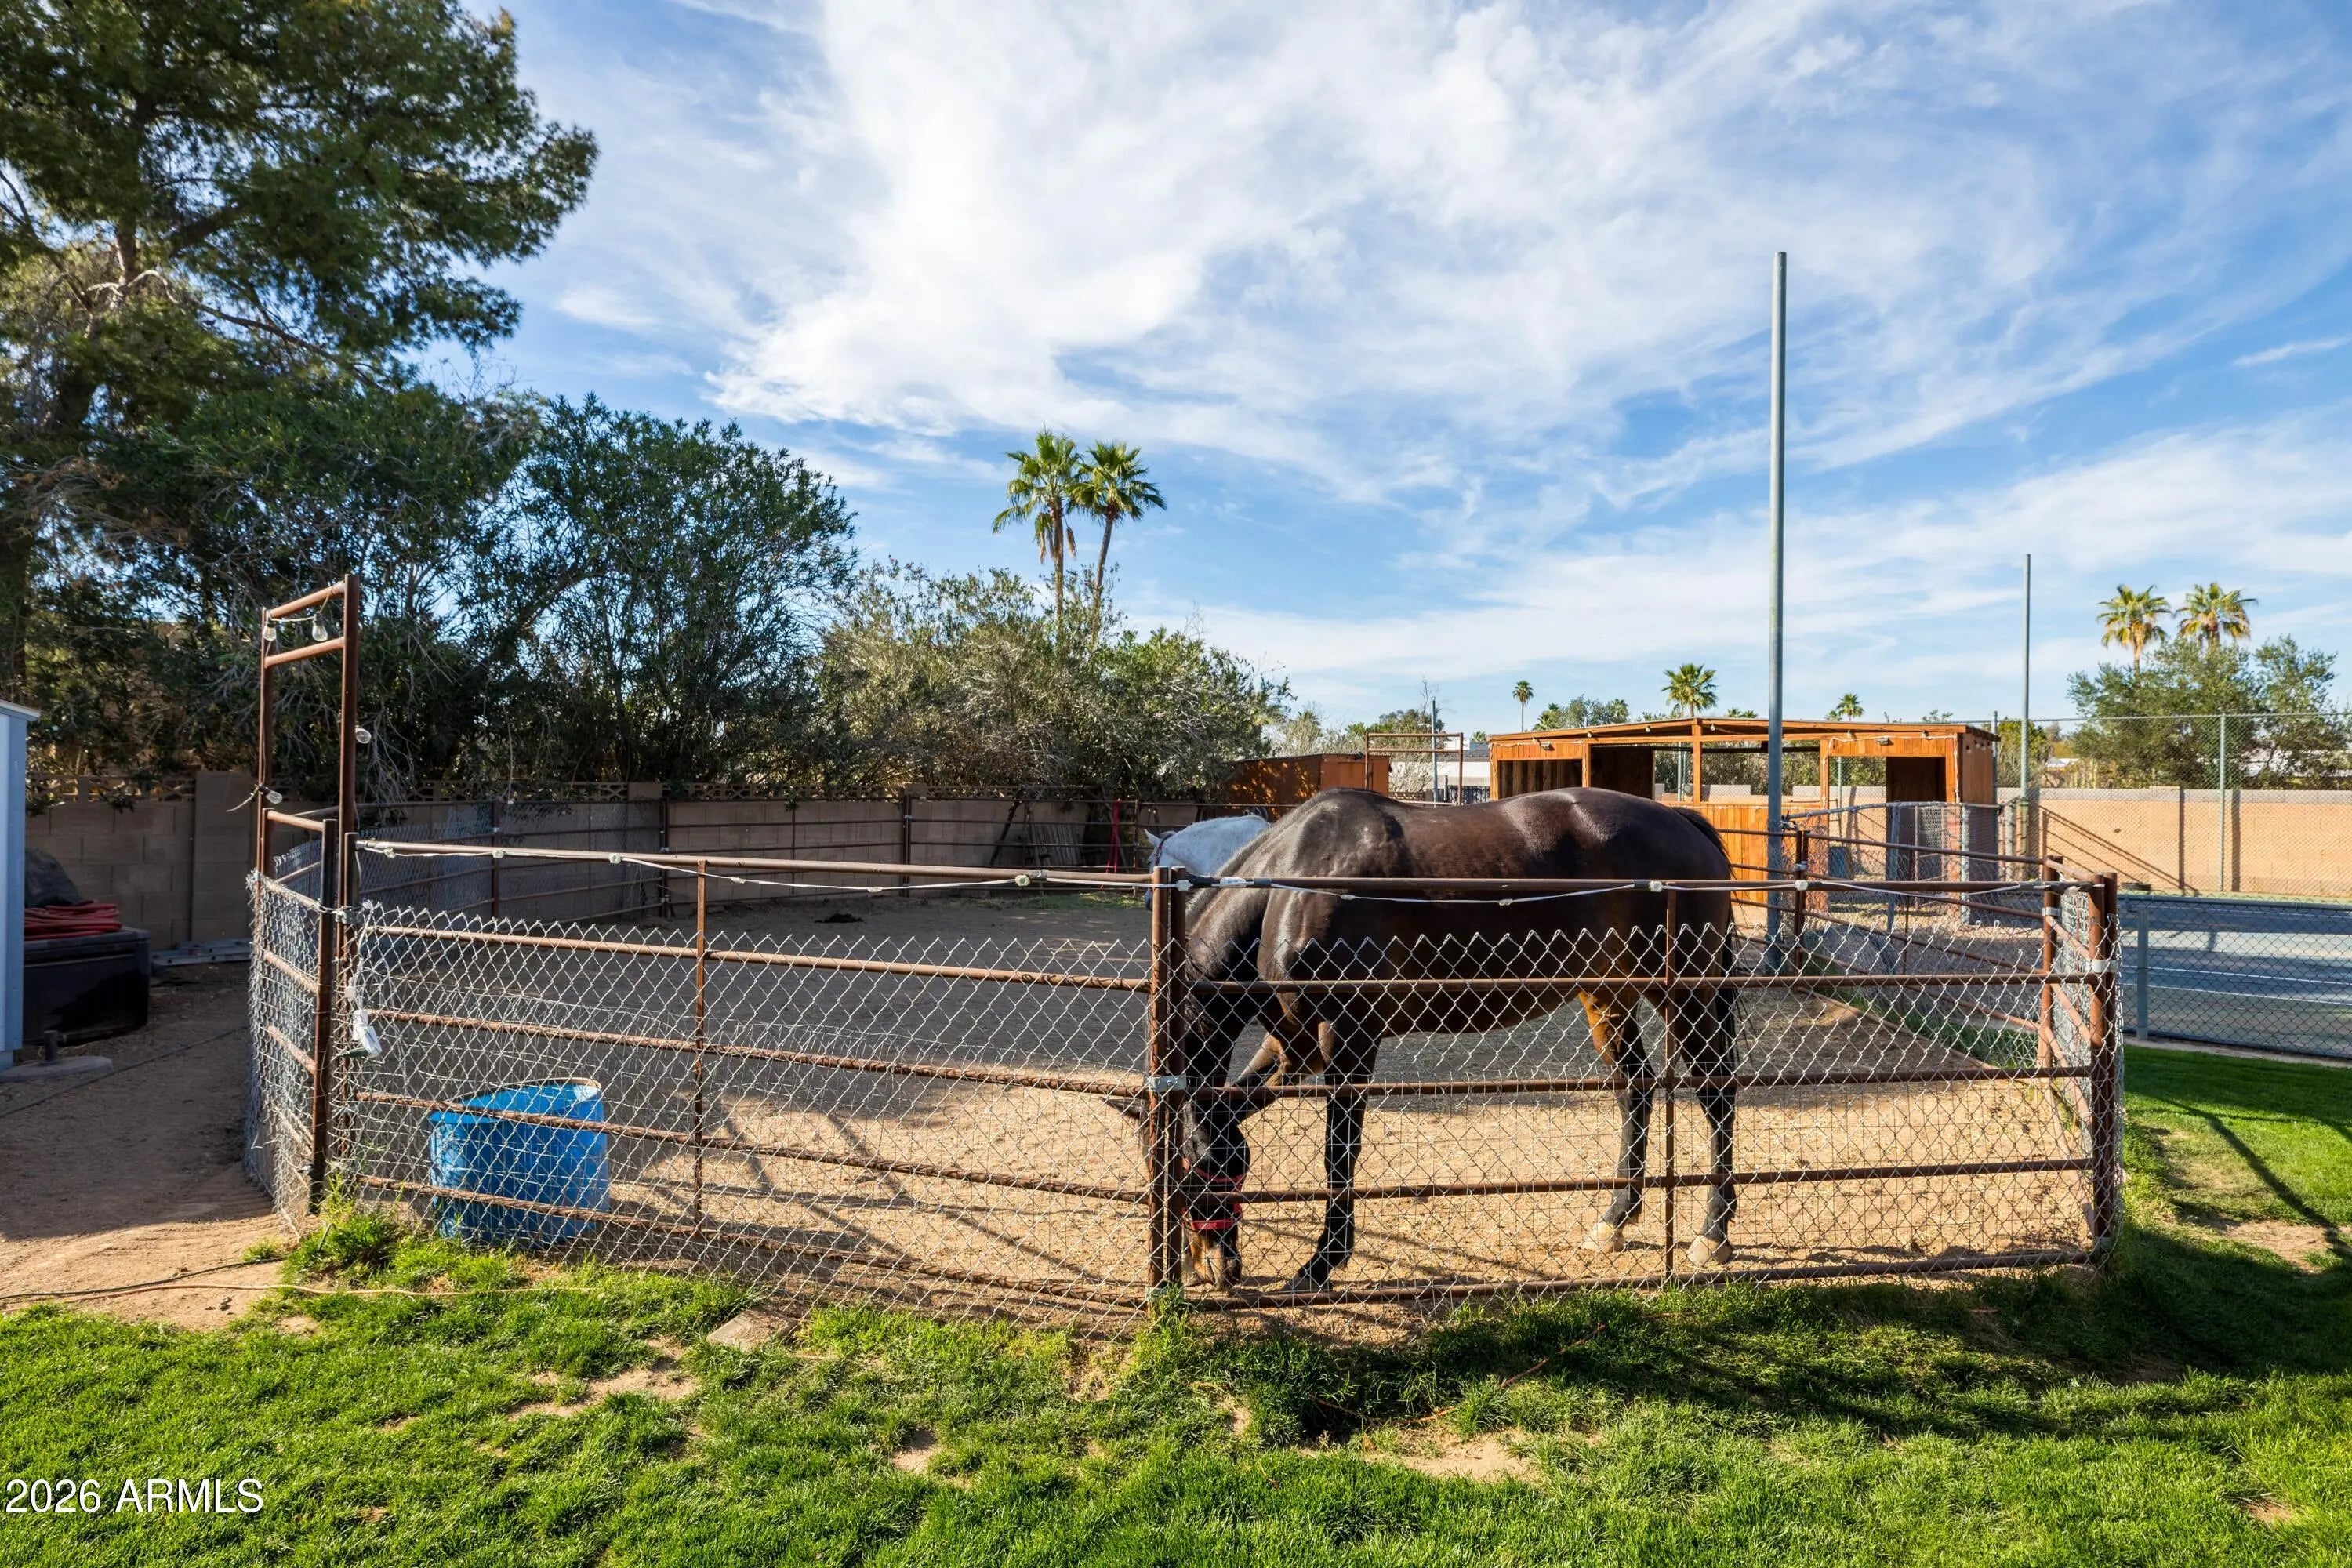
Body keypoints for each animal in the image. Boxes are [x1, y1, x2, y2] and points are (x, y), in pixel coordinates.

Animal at [1163, 786, 1740, 1293]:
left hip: (1685, 992)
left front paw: (1322, 1263)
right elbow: (1234, 1108)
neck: (1293, 885)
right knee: (1635, 1089)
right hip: (1608, 993)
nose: (1218, 1266)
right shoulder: (1293, 1047)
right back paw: (1616, 1219)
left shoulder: (1348, 1038)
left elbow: (1338, 1152)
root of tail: (1683, 823)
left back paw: (1713, 1232)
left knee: (1716, 1089)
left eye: (1206, 1173)